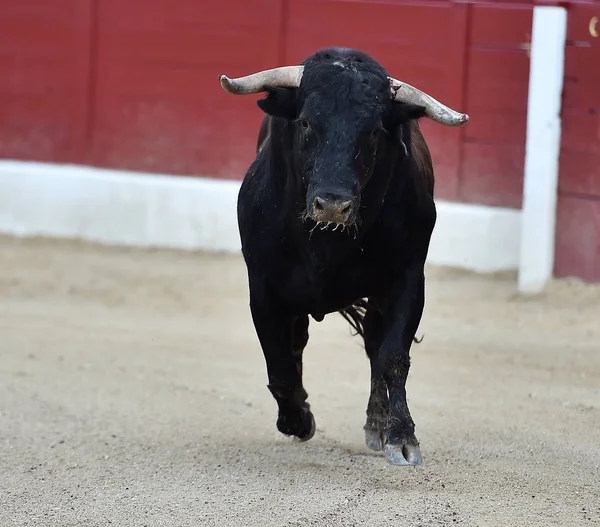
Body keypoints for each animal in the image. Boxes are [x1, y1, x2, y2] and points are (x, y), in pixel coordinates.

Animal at [220, 45, 468, 466]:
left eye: (374, 132)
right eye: (305, 122)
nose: (333, 204)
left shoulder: (407, 279)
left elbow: (392, 355)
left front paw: (401, 436)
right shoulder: (263, 286)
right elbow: (279, 361)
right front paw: (297, 420)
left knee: (374, 344)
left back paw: (376, 423)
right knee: (299, 345)